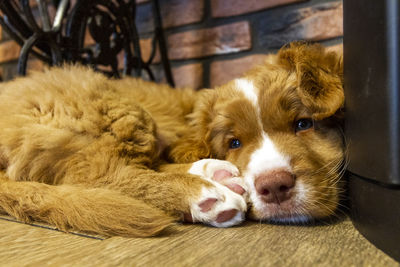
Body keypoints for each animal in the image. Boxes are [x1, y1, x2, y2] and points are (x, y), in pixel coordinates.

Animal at [0, 43, 344, 238]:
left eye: (304, 124)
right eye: (234, 142)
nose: (273, 186)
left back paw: (215, 173)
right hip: (105, 108)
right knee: (104, 175)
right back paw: (206, 195)